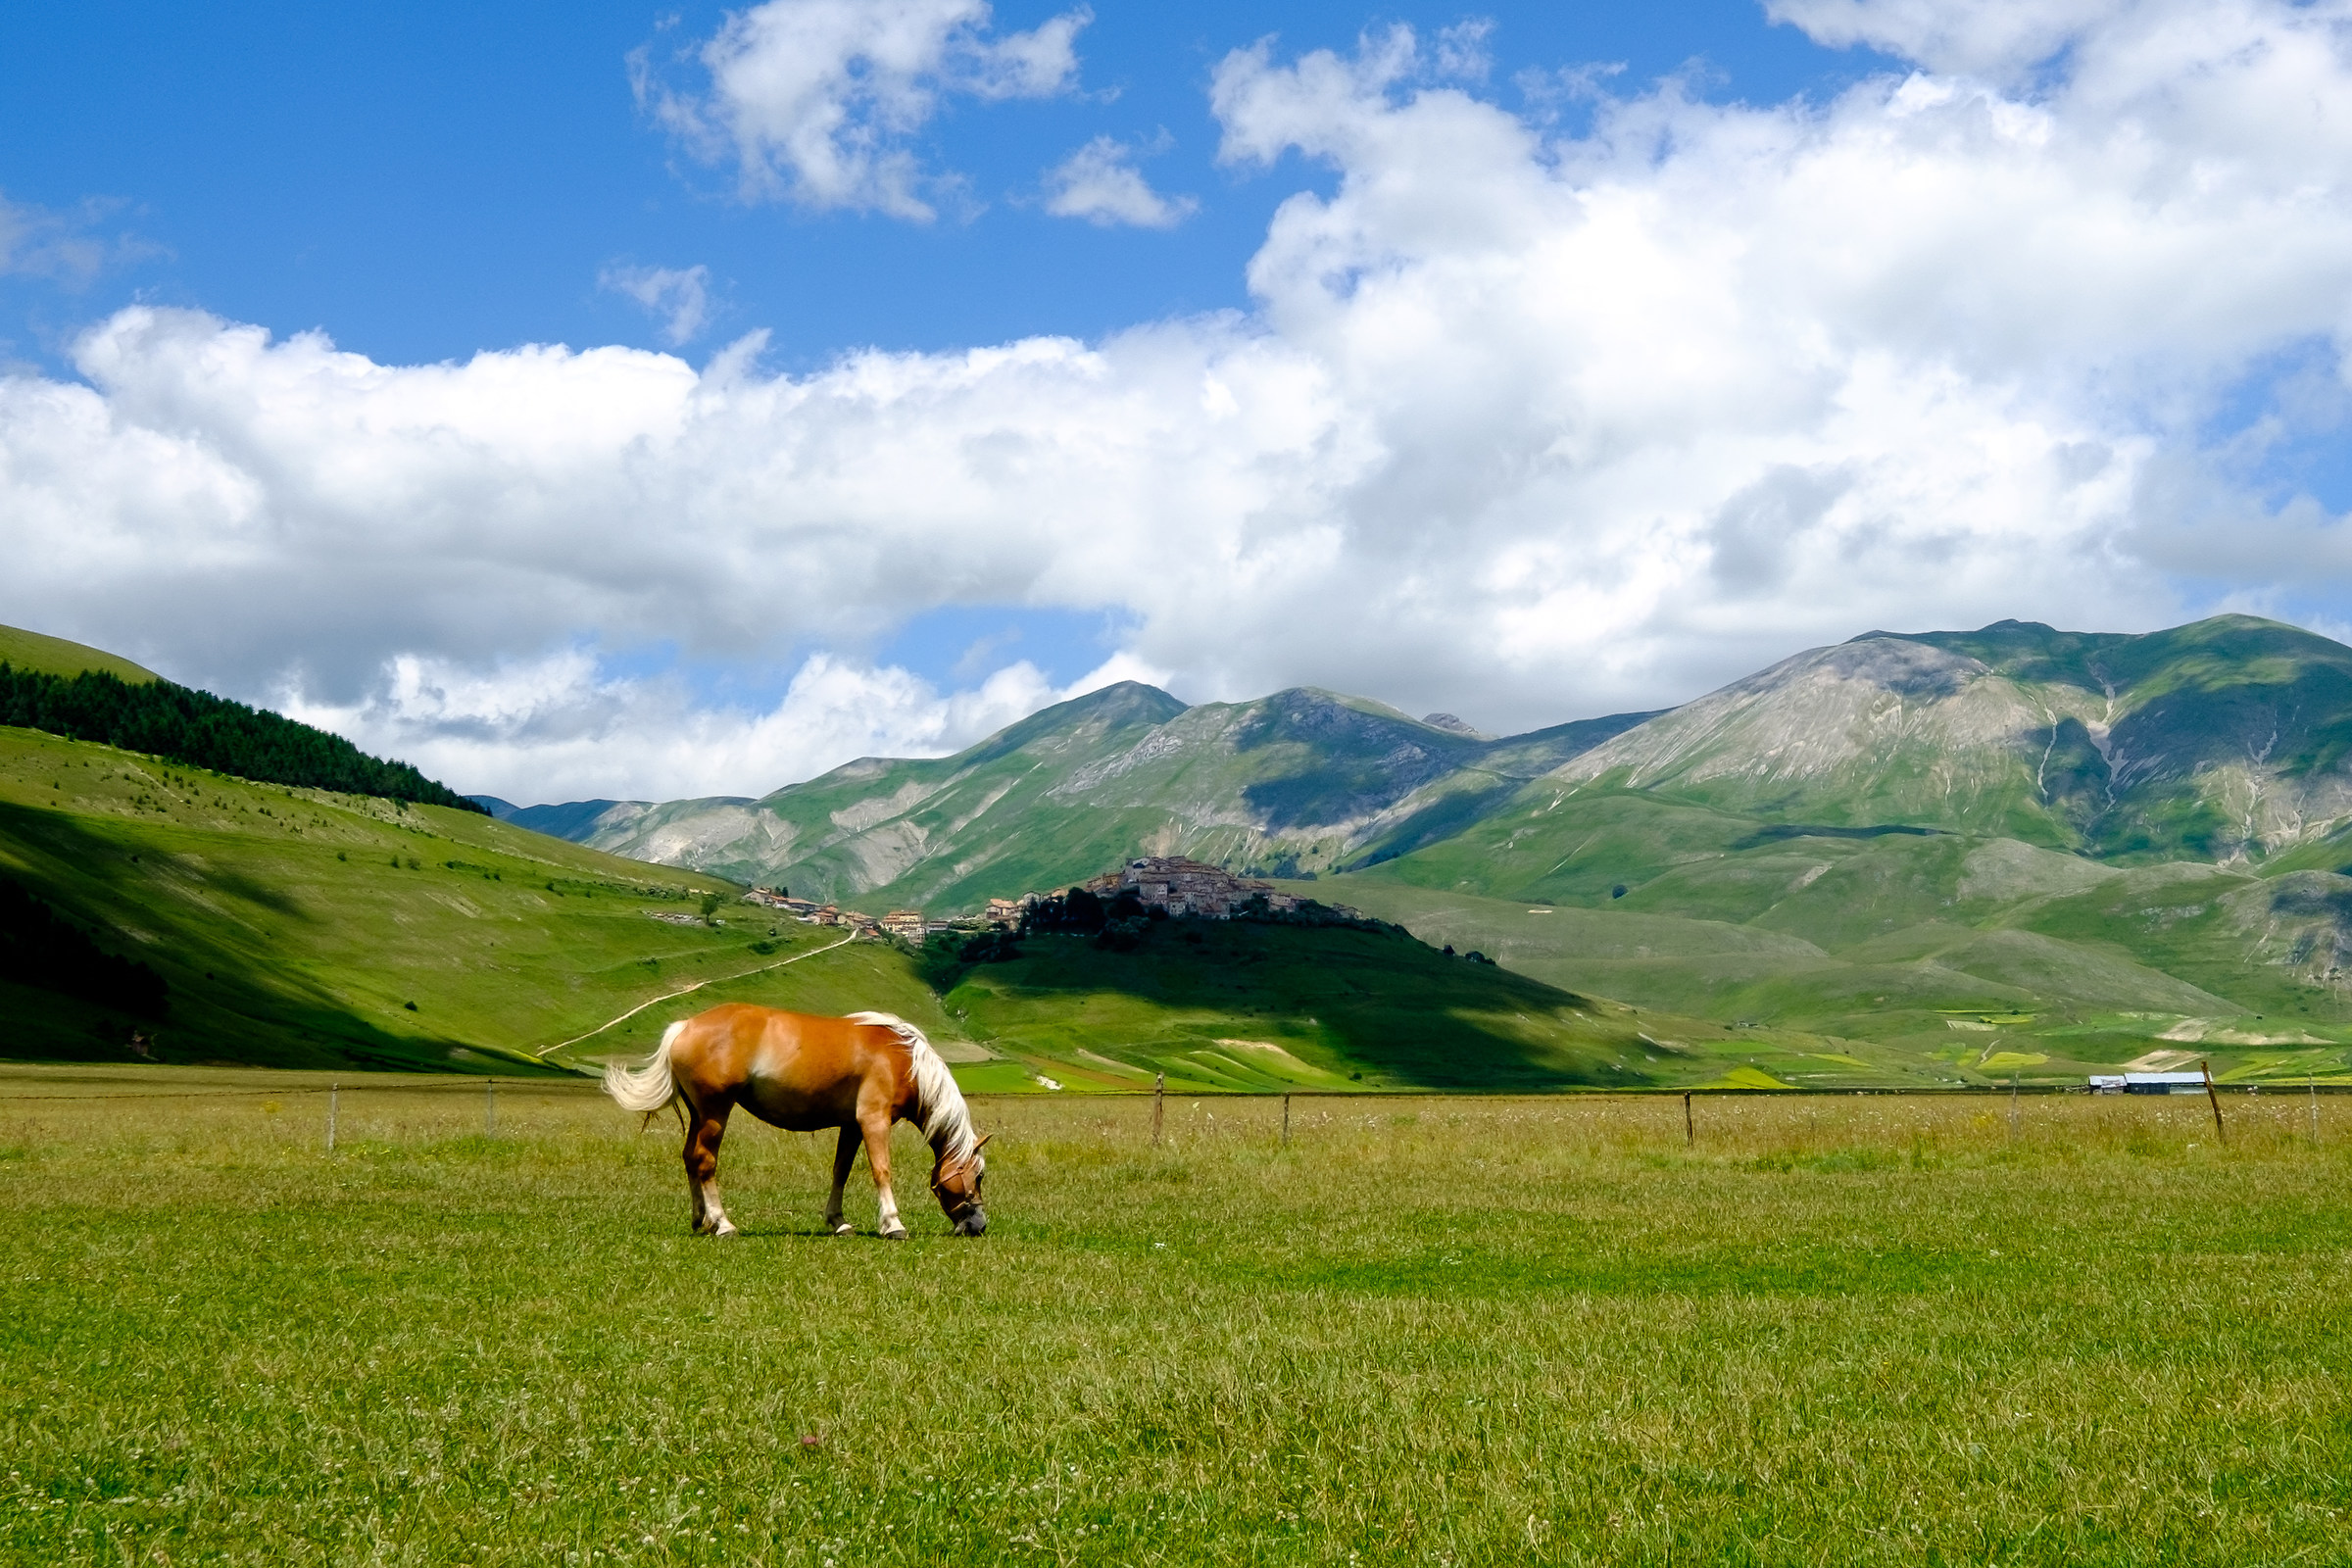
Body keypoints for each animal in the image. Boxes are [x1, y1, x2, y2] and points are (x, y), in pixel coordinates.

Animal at [602, 1004, 989, 1239]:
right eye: (979, 1176)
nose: (979, 1225)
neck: (903, 1058)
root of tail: (685, 1027)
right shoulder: (873, 1120)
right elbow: (882, 1170)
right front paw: (892, 1224)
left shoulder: (851, 1126)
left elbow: (840, 1171)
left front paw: (838, 1221)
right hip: (715, 1112)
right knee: (704, 1161)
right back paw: (723, 1223)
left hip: (699, 1113)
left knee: (688, 1158)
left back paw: (702, 1219)